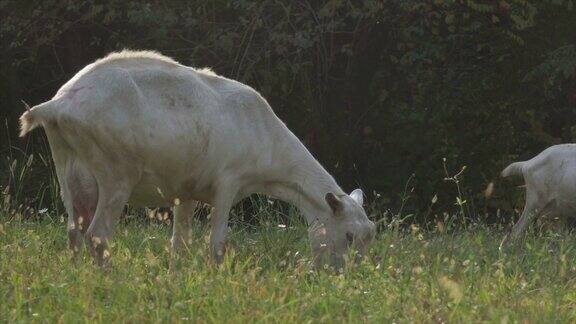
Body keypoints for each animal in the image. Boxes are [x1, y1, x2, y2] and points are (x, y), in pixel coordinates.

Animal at [18, 50, 376, 268]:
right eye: (348, 236)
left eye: (370, 236)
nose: (346, 278)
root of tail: (59, 103)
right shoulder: (229, 181)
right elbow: (217, 241)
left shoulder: (183, 191)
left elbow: (181, 241)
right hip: (115, 173)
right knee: (97, 233)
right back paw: (108, 277)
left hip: (69, 167)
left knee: (74, 231)